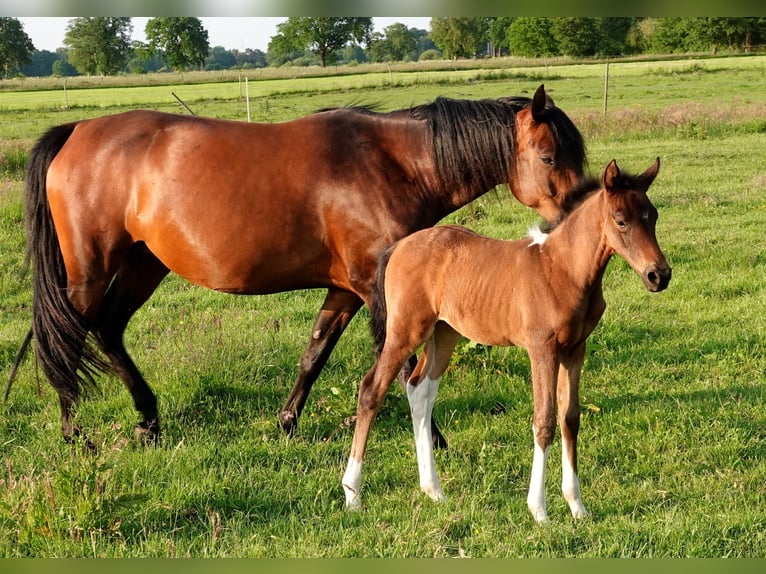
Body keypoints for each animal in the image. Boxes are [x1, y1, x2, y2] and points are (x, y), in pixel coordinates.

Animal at [19, 84, 592, 446]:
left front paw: (287, 422)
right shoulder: (382, 290)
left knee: (109, 328)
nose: (580, 221)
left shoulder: (345, 290)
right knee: (71, 335)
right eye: (548, 157)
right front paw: (433, 438)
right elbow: (402, 365)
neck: (393, 164)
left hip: (144, 264)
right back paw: (73, 429)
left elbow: (314, 355)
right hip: (90, 269)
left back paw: (148, 420)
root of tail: (77, 130)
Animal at [342, 158, 672, 520]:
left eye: (653, 216)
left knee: (420, 391)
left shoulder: (575, 349)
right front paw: (539, 510)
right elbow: (544, 421)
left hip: (443, 334)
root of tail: (398, 246)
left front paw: (577, 506)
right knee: (372, 390)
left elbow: (570, 418)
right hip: (405, 331)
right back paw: (352, 494)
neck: (563, 269)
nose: (659, 275)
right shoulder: (542, 349)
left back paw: (434, 491)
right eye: (621, 220)